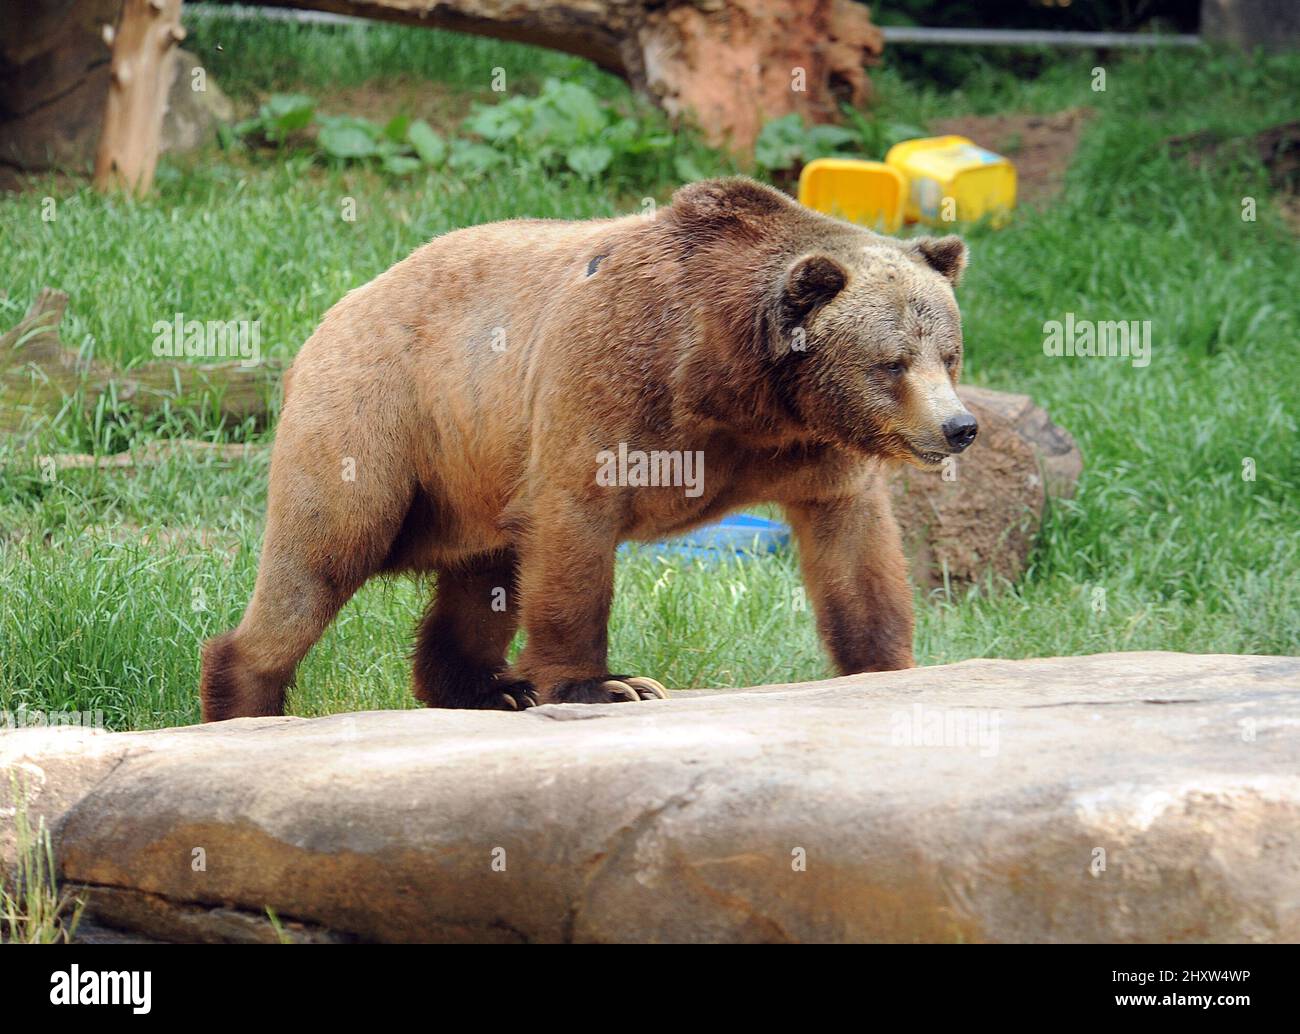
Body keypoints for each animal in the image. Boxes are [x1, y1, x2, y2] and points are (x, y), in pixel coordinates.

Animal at [199, 177, 976, 721]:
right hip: (383, 419)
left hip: (474, 474)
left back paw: (491, 687)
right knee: (325, 550)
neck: (739, 385)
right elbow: (576, 526)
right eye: (891, 362)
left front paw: (887, 664)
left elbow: (855, 553)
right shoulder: (613, 375)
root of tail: (330, 316)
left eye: (949, 353)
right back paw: (243, 696)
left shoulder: (810, 454)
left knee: (482, 580)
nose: (959, 427)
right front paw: (607, 685)